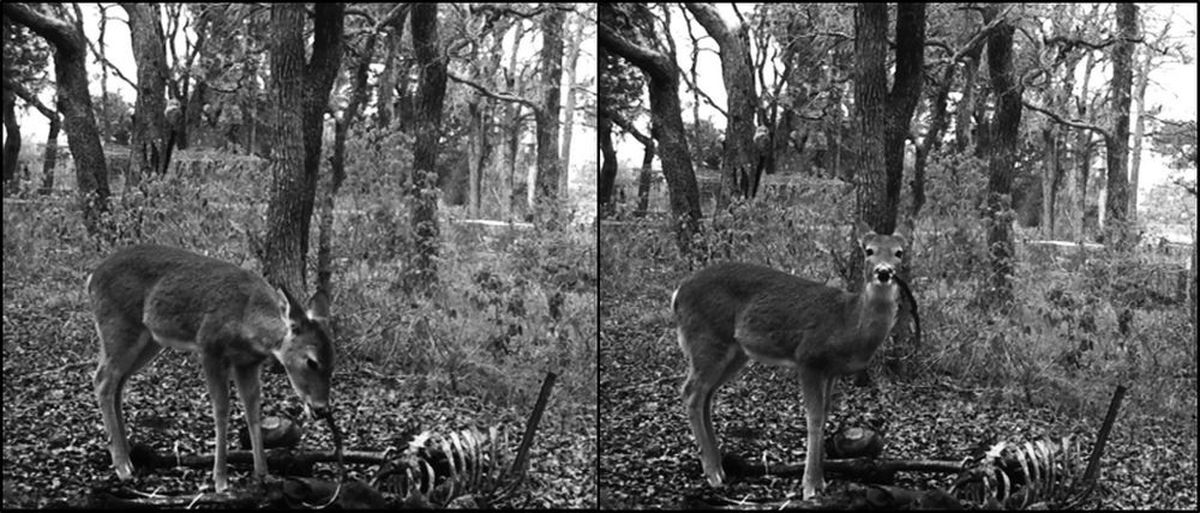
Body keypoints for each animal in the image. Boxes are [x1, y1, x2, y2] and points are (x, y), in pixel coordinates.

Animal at [87, 244, 336, 493]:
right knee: (102, 380)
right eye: (311, 361)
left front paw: (263, 474)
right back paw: (122, 467)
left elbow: (253, 410)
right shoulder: (209, 348)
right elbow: (221, 410)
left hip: (149, 340)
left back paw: (128, 457)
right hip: (119, 326)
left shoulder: (247, 363)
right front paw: (221, 481)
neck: (247, 320)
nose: (322, 409)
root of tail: (92, 278)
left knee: (118, 383)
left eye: (333, 362)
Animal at [676, 222, 907, 498]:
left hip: (735, 352)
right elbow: (814, 417)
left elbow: (826, 414)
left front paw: (821, 481)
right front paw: (810, 486)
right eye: (869, 250)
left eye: (899, 252)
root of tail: (678, 292)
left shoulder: (832, 370)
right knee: (690, 392)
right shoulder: (808, 358)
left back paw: (720, 467)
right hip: (707, 338)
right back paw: (712, 473)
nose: (884, 272)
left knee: (706, 395)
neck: (848, 323)